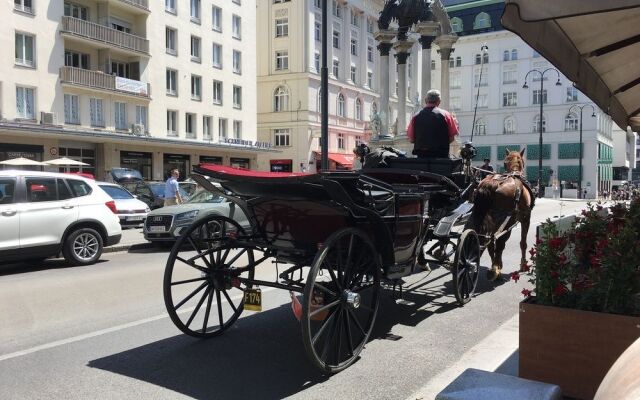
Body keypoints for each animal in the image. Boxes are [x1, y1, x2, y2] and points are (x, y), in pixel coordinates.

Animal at [470, 148, 536, 282]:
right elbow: (523, 243)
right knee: (498, 243)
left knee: (488, 241)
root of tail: (492, 183)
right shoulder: (526, 218)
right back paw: (495, 269)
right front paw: (523, 264)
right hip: (506, 221)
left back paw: (495, 268)